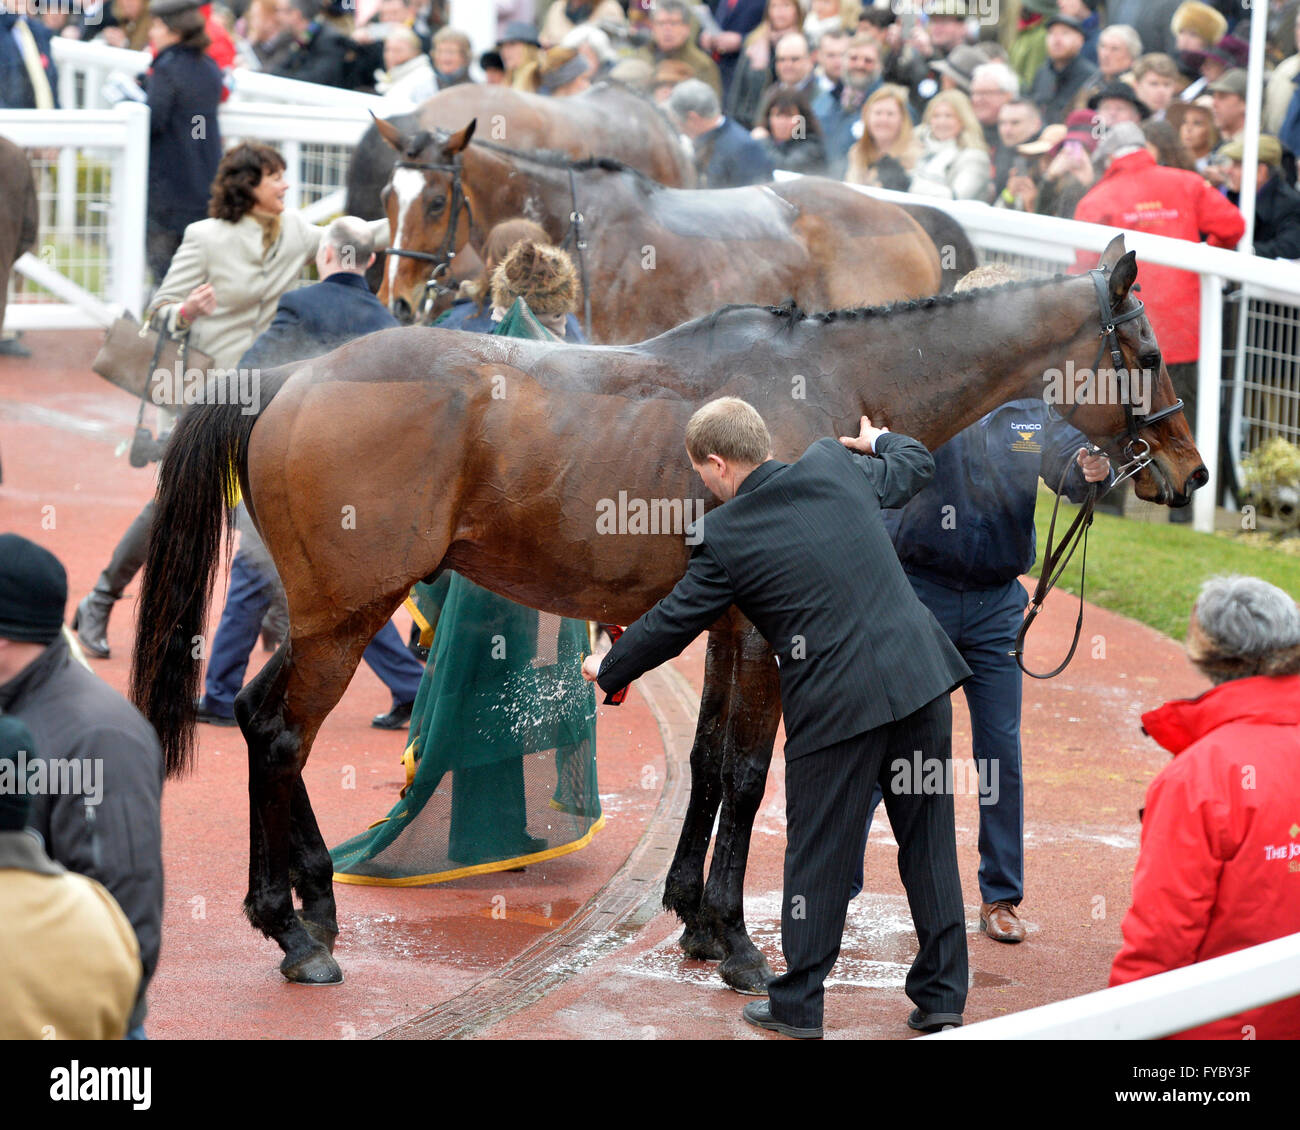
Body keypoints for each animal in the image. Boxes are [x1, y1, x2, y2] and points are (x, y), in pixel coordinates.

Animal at [131, 235, 1206, 988]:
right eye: (1149, 349)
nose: (1192, 473)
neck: (831, 388)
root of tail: (288, 380)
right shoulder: (773, 632)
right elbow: (749, 770)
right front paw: (737, 939)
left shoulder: (727, 621)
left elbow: (709, 760)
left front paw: (692, 915)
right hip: (347, 612)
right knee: (281, 732)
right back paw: (293, 927)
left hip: (329, 614)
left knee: (266, 724)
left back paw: (309, 904)